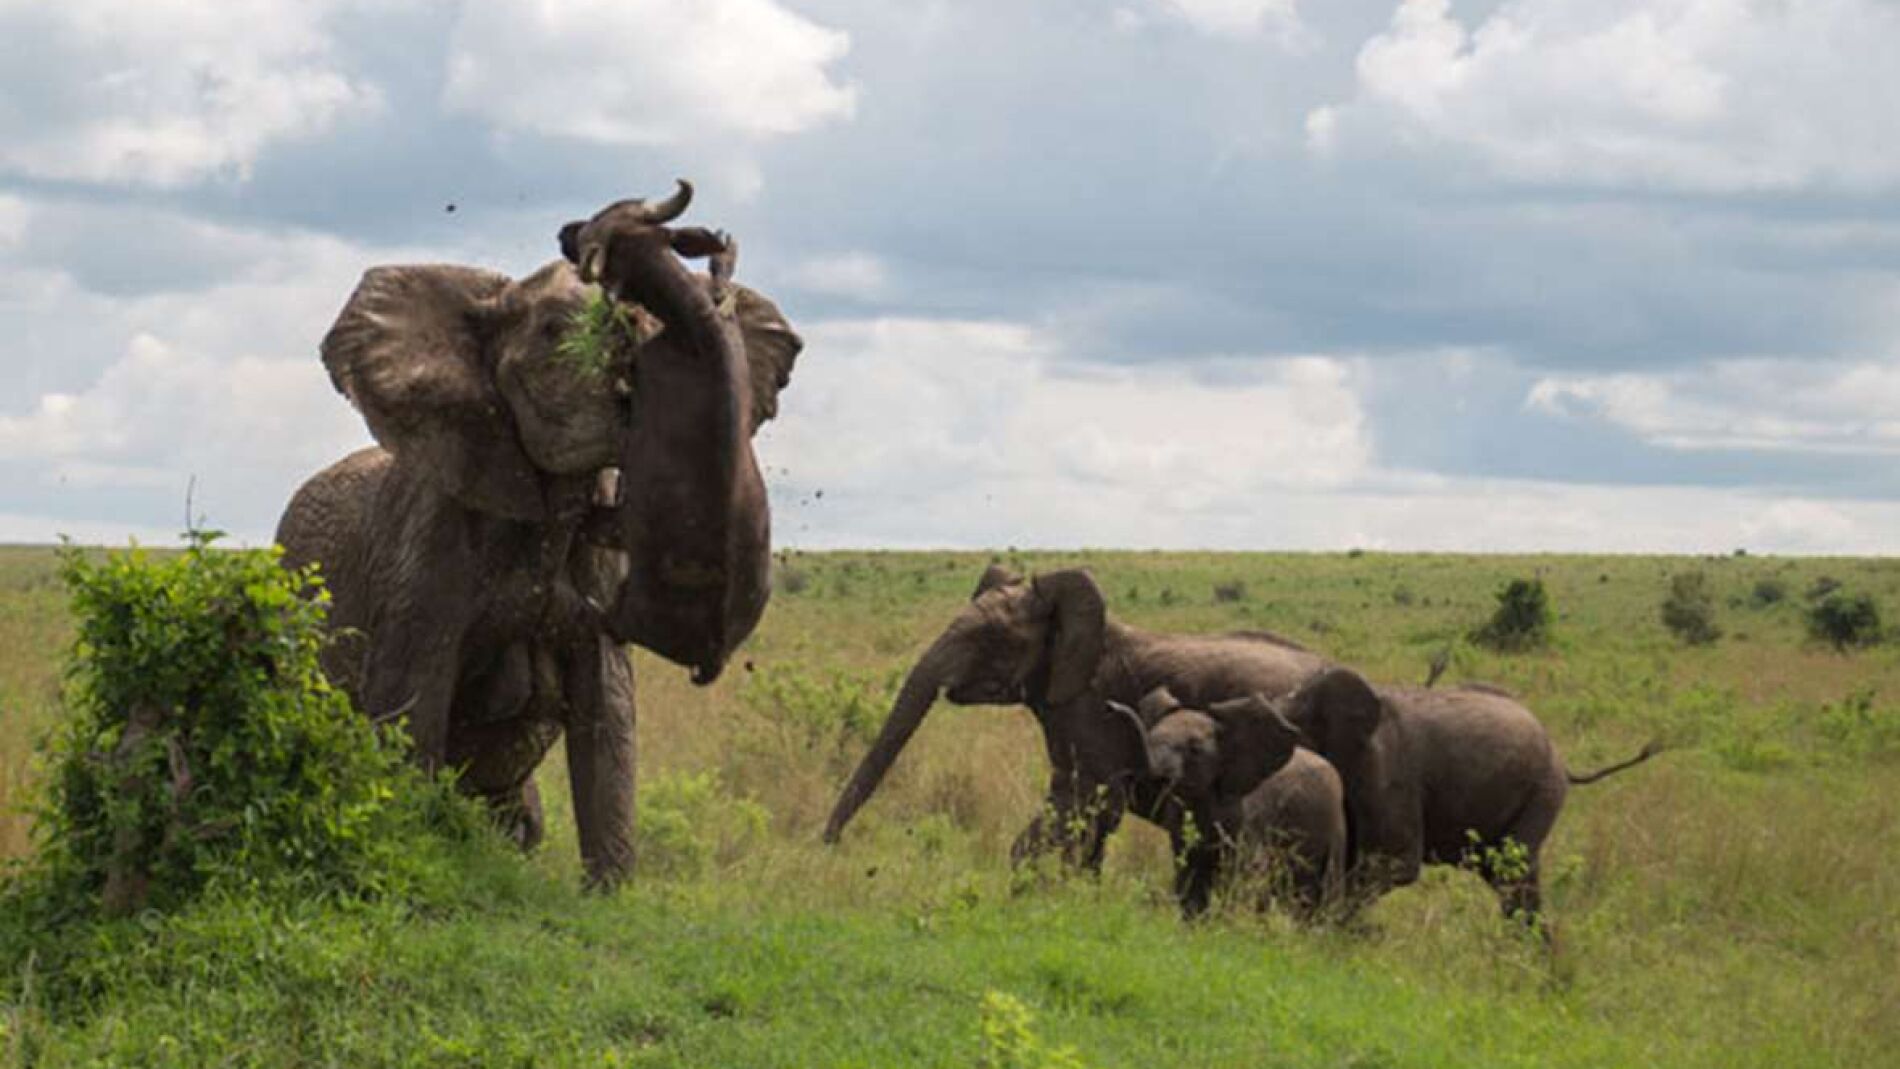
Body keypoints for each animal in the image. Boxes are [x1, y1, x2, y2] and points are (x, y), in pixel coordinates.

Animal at [276, 181, 801, 888]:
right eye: (555, 332)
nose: (580, 232)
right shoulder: (425, 547)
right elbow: (411, 705)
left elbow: (609, 714)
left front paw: (608, 896)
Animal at [1102, 686, 1346, 918]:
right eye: (1151, 738)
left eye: (1194, 749)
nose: (1110, 706)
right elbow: (1189, 878)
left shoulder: (1246, 819)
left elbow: (1238, 878)